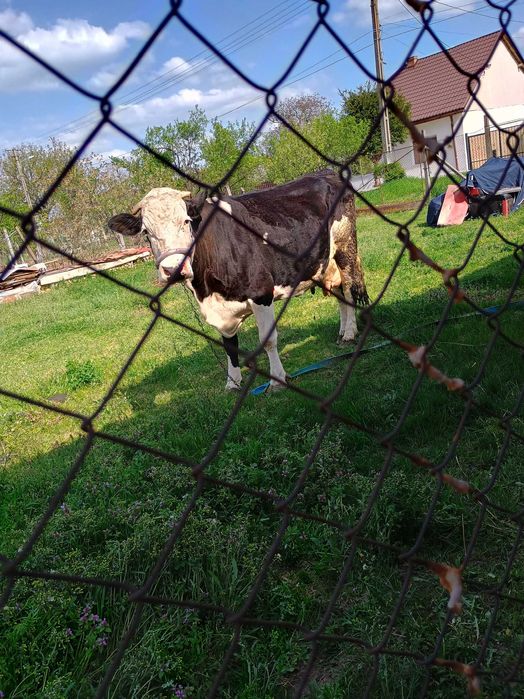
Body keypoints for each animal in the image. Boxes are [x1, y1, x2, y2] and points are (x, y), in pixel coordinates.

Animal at [108, 171, 368, 391]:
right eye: (146, 232)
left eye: (185, 221)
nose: (173, 269)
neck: (206, 290)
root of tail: (324, 172)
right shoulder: (221, 309)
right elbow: (229, 347)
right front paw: (232, 383)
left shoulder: (261, 292)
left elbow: (268, 340)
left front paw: (277, 380)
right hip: (323, 262)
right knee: (339, 294)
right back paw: (342, 332)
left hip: (345, 248)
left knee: (348, 289)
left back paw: (350, 333)